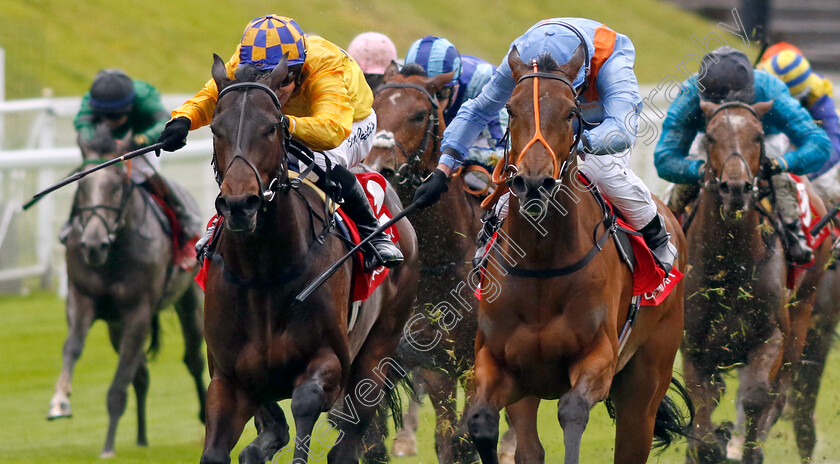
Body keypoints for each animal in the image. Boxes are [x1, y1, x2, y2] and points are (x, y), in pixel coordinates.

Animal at [47, 125, 208, 458]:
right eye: (81, 184)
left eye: (118, 185)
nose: (93, 245)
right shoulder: (83, 300)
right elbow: (73, 348)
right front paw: (60, 401)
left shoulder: (138, 312)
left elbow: (119, 384)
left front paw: (108, 446)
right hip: (114, 325)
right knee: (141, 375)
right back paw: (142, 437)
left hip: (189, 300)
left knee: (194, 359)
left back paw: (204, 417)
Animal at [198, 55, 420, 464]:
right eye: (216, 129)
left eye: (271, 127)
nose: (239, 204)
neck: (263, 273)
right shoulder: (228, 377)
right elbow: (221, 448)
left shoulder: (330, 361)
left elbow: (305, 403)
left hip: (378, 351)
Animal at [364, 62, 482, 464]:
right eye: (374, 108)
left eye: (418, 114)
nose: (379, 167)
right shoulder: (436, 366)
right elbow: (447, 442)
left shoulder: (474, 364)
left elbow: (464, 441)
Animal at [466, 46, 688, 464]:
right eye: (510, 108)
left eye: (571, 111)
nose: (534, 182)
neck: (541, 264)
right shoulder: (500, 363)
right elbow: (481, 420)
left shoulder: (600, 358)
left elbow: (572, 410)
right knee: (529, 448)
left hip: (646, 384)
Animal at [684, 99, 832, 462]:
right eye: (710, 136)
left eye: (758, 136)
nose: (735, 188)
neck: (729, 266)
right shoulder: (693, 346)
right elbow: (702, 410)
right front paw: (713, 443)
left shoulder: (770, 336)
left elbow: (756, 396)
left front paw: (745, 449)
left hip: (804, 313)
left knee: (781, 393)